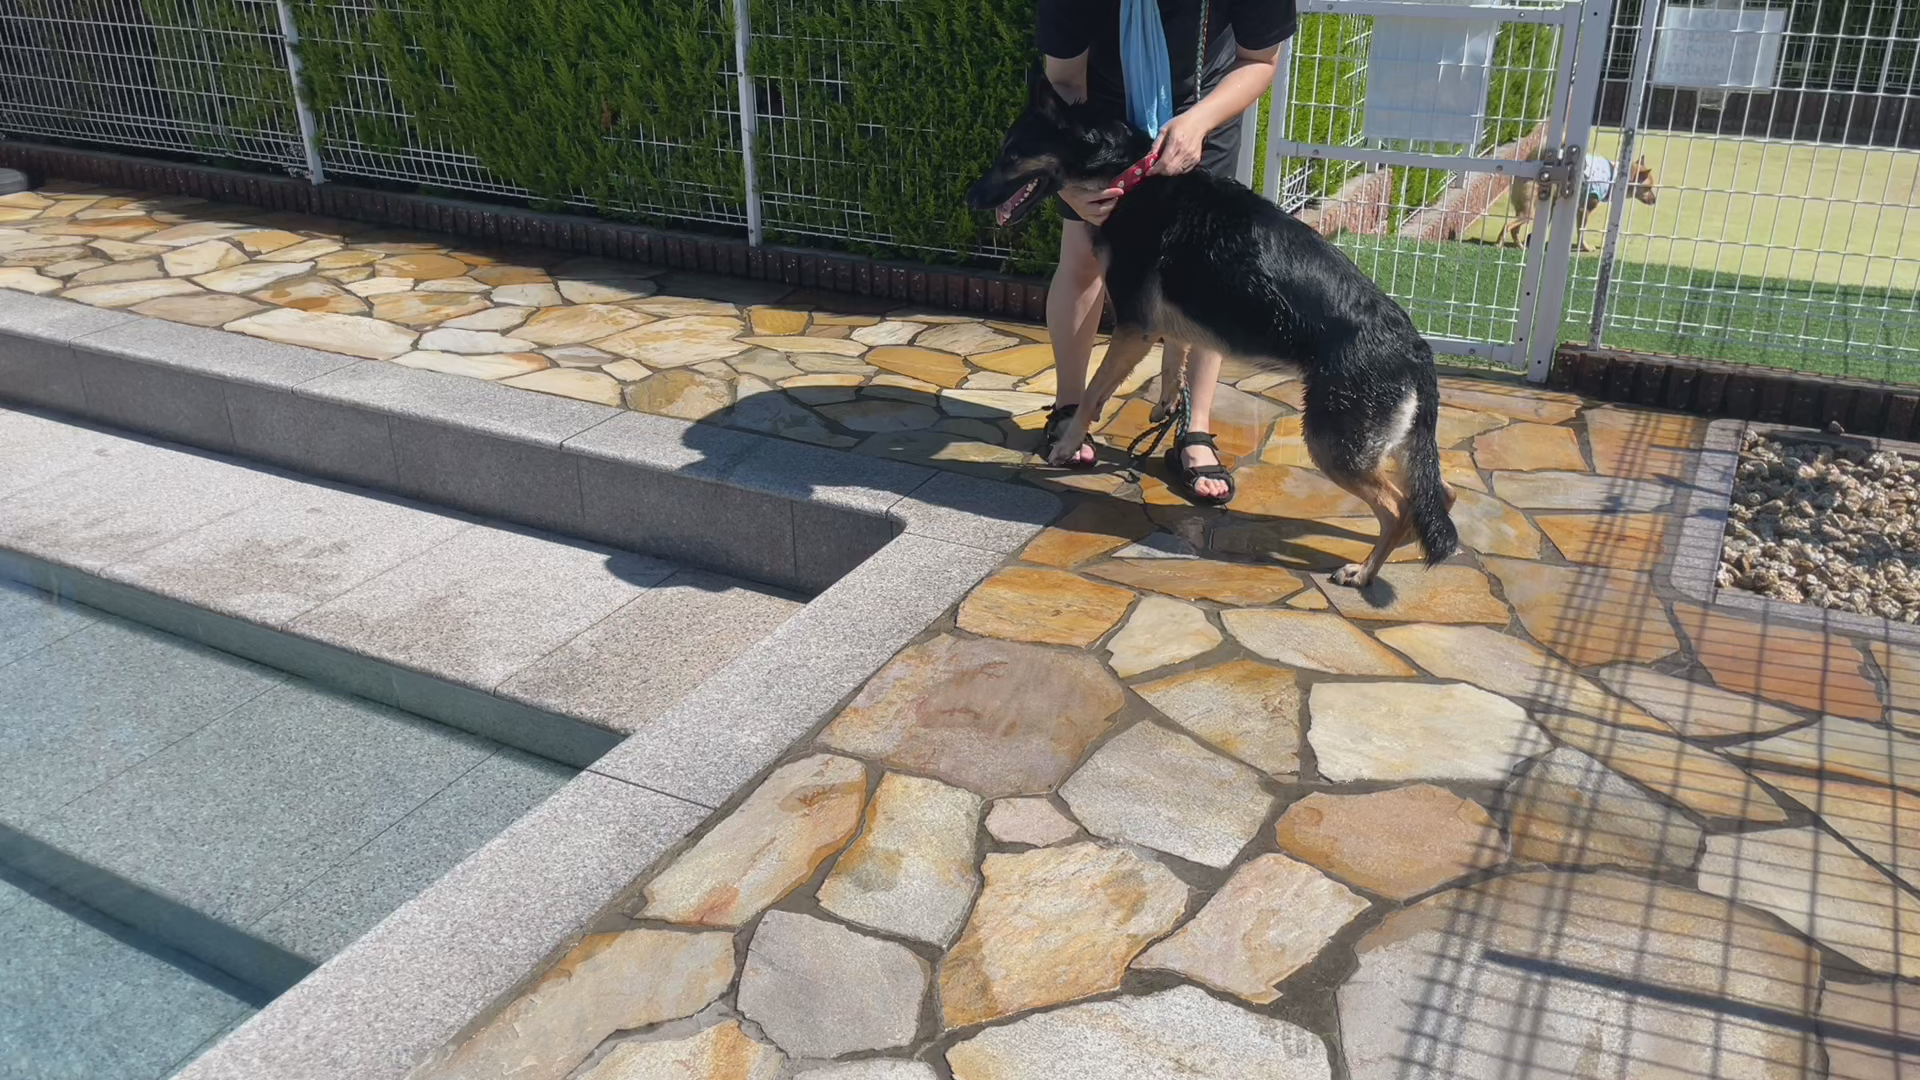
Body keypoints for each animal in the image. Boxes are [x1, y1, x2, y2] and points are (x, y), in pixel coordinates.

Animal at [967, 73, 1458, 588]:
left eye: (1012, 155)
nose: (969, 200)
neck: (1131, 175)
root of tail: (1415, 347)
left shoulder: (1134, 328)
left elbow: (1096, 391)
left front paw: (1066, 444)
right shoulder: (1168, 322)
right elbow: (1173, 358)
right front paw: (1167, 404)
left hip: (1334, 445)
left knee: (1399, 509)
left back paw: (1362, 573)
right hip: (1382, 445)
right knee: (1437, 496)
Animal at [1505, 153, 1657, 251]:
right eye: (1648, 188)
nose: (1655, 200)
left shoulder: (1556, 206)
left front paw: (1533, 240)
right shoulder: (1585, 210)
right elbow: (1581, 232)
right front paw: (1585, 247)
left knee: (1514, 229)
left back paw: (1520, 245)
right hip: (1530, 211)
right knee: (1510, 226)